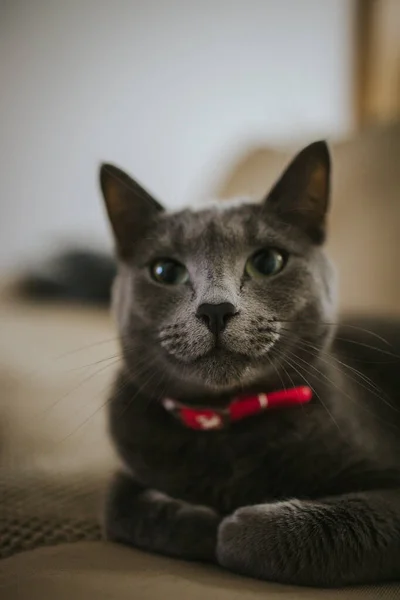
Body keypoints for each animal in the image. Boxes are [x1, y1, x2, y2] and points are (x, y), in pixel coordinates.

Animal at [99, 143, 400, 588]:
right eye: (165, 270)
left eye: (269, 262)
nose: (215, 309)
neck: (228, 418)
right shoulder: (130, 457)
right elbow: (116, 500)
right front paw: (199, 520)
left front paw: (233, 528)